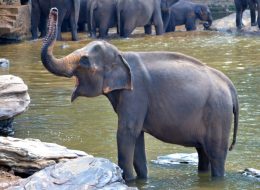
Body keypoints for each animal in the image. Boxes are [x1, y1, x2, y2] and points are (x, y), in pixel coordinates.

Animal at [41, 8, 239, 182]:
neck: (122, 55)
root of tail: (230, 86)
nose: (54, 10)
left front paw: (127, 180)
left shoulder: (135, 94)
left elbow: (127, 132)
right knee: (202, 153)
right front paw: (142, 179)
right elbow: (138, 137)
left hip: (218, 115)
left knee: (216, 155)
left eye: (84, 61)